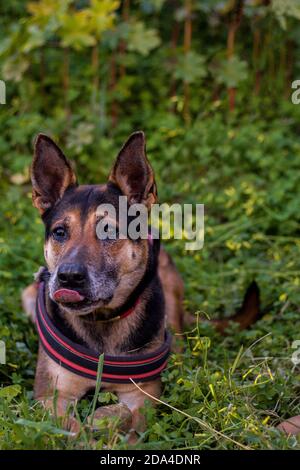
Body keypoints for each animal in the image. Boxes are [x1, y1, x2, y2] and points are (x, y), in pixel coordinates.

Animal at [21, 131, 260, 440]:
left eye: (108, 230)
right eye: (60, 232)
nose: (69, 277)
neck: (103, 321)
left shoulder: (142, 395)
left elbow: (132, 421)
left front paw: (107, 421)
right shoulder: (52, 396)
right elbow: (74, 430)